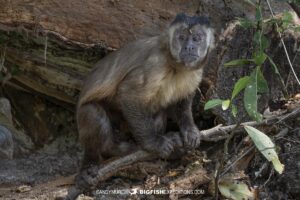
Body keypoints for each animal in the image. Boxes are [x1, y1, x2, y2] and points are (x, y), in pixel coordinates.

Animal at [76, 13, 214, 168]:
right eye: (182, 37)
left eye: (196, 38)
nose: (189, 47)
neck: (177, 66)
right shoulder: (155, 63)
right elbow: (128, 94)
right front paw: (154, 144)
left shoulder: (196, 72)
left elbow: (183, 100)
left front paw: (189, 130)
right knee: (92, 112)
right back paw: (104, 155)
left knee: (159, 112)